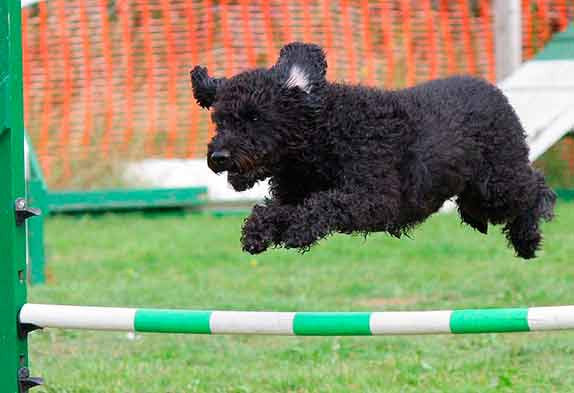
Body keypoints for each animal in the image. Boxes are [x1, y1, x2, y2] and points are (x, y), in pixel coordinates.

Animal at [191, 42, 556, 258]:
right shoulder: (293, 195)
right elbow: (275, 209)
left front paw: (299, 230)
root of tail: (494, 91)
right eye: (220, 120)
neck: (322, 137)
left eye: (254, 116)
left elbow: (326, 204)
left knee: (535, 186)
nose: (219, 157)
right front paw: (259, 231)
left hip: (496, 185)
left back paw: (527, 237)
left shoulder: (377, 199)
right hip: (476, 195)